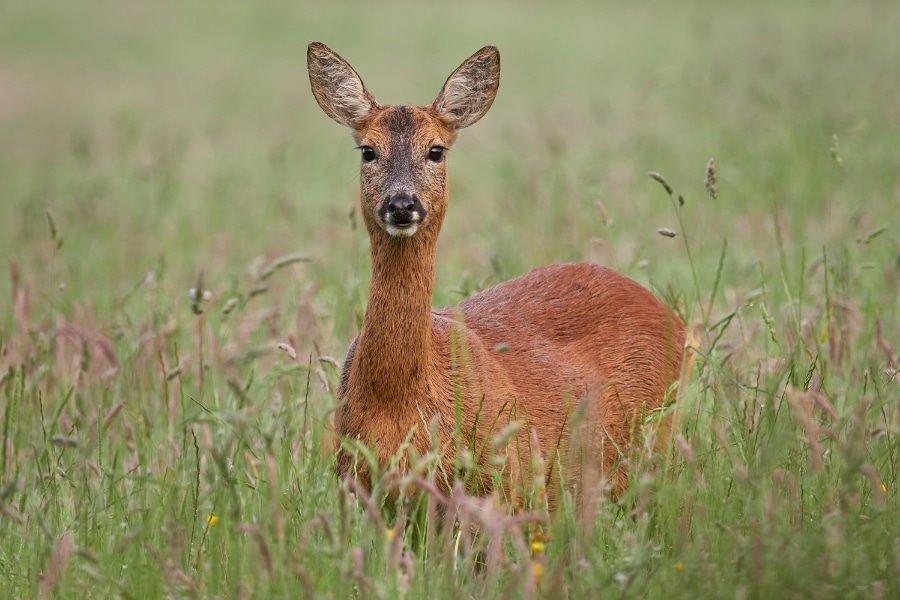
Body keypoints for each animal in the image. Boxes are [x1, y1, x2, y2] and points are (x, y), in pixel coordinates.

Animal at [308, 41, 688, 510]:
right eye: (367, 150)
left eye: (436, 150)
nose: (401, 204)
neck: (400, 405)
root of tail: (674, 320)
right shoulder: (356, 484)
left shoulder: (511, 481)